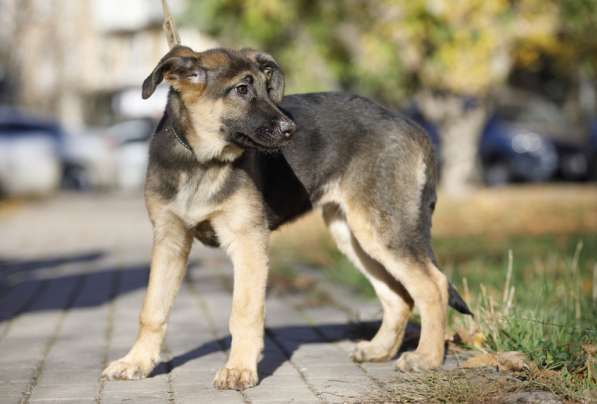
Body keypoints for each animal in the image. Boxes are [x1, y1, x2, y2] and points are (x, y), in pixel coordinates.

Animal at [102, 45, 468, 390]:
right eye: (241, 90)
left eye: (267, 88)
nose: (291, 129)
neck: (199, 162)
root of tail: (413, 126)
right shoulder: (170, 241)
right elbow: (152, 308)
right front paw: (137, 362)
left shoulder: (247, 241)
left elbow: (244, 311)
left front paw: (239, 369)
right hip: (353, 234)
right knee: (398, 296)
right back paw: (380, 350)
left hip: (381, 228)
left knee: (432, 285)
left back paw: (427, 357)